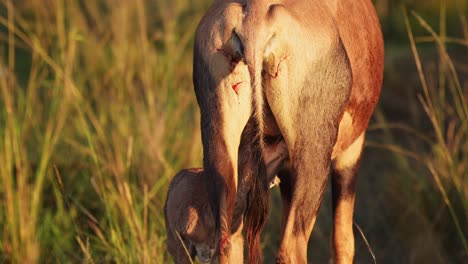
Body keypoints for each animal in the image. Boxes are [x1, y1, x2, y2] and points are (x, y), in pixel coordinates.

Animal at [192, 0, 382, 264]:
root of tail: (255, 16)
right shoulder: (350, 151)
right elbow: (342, 242)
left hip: (221, 150)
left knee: (227, 241)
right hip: (312, 158)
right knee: (290, 249)